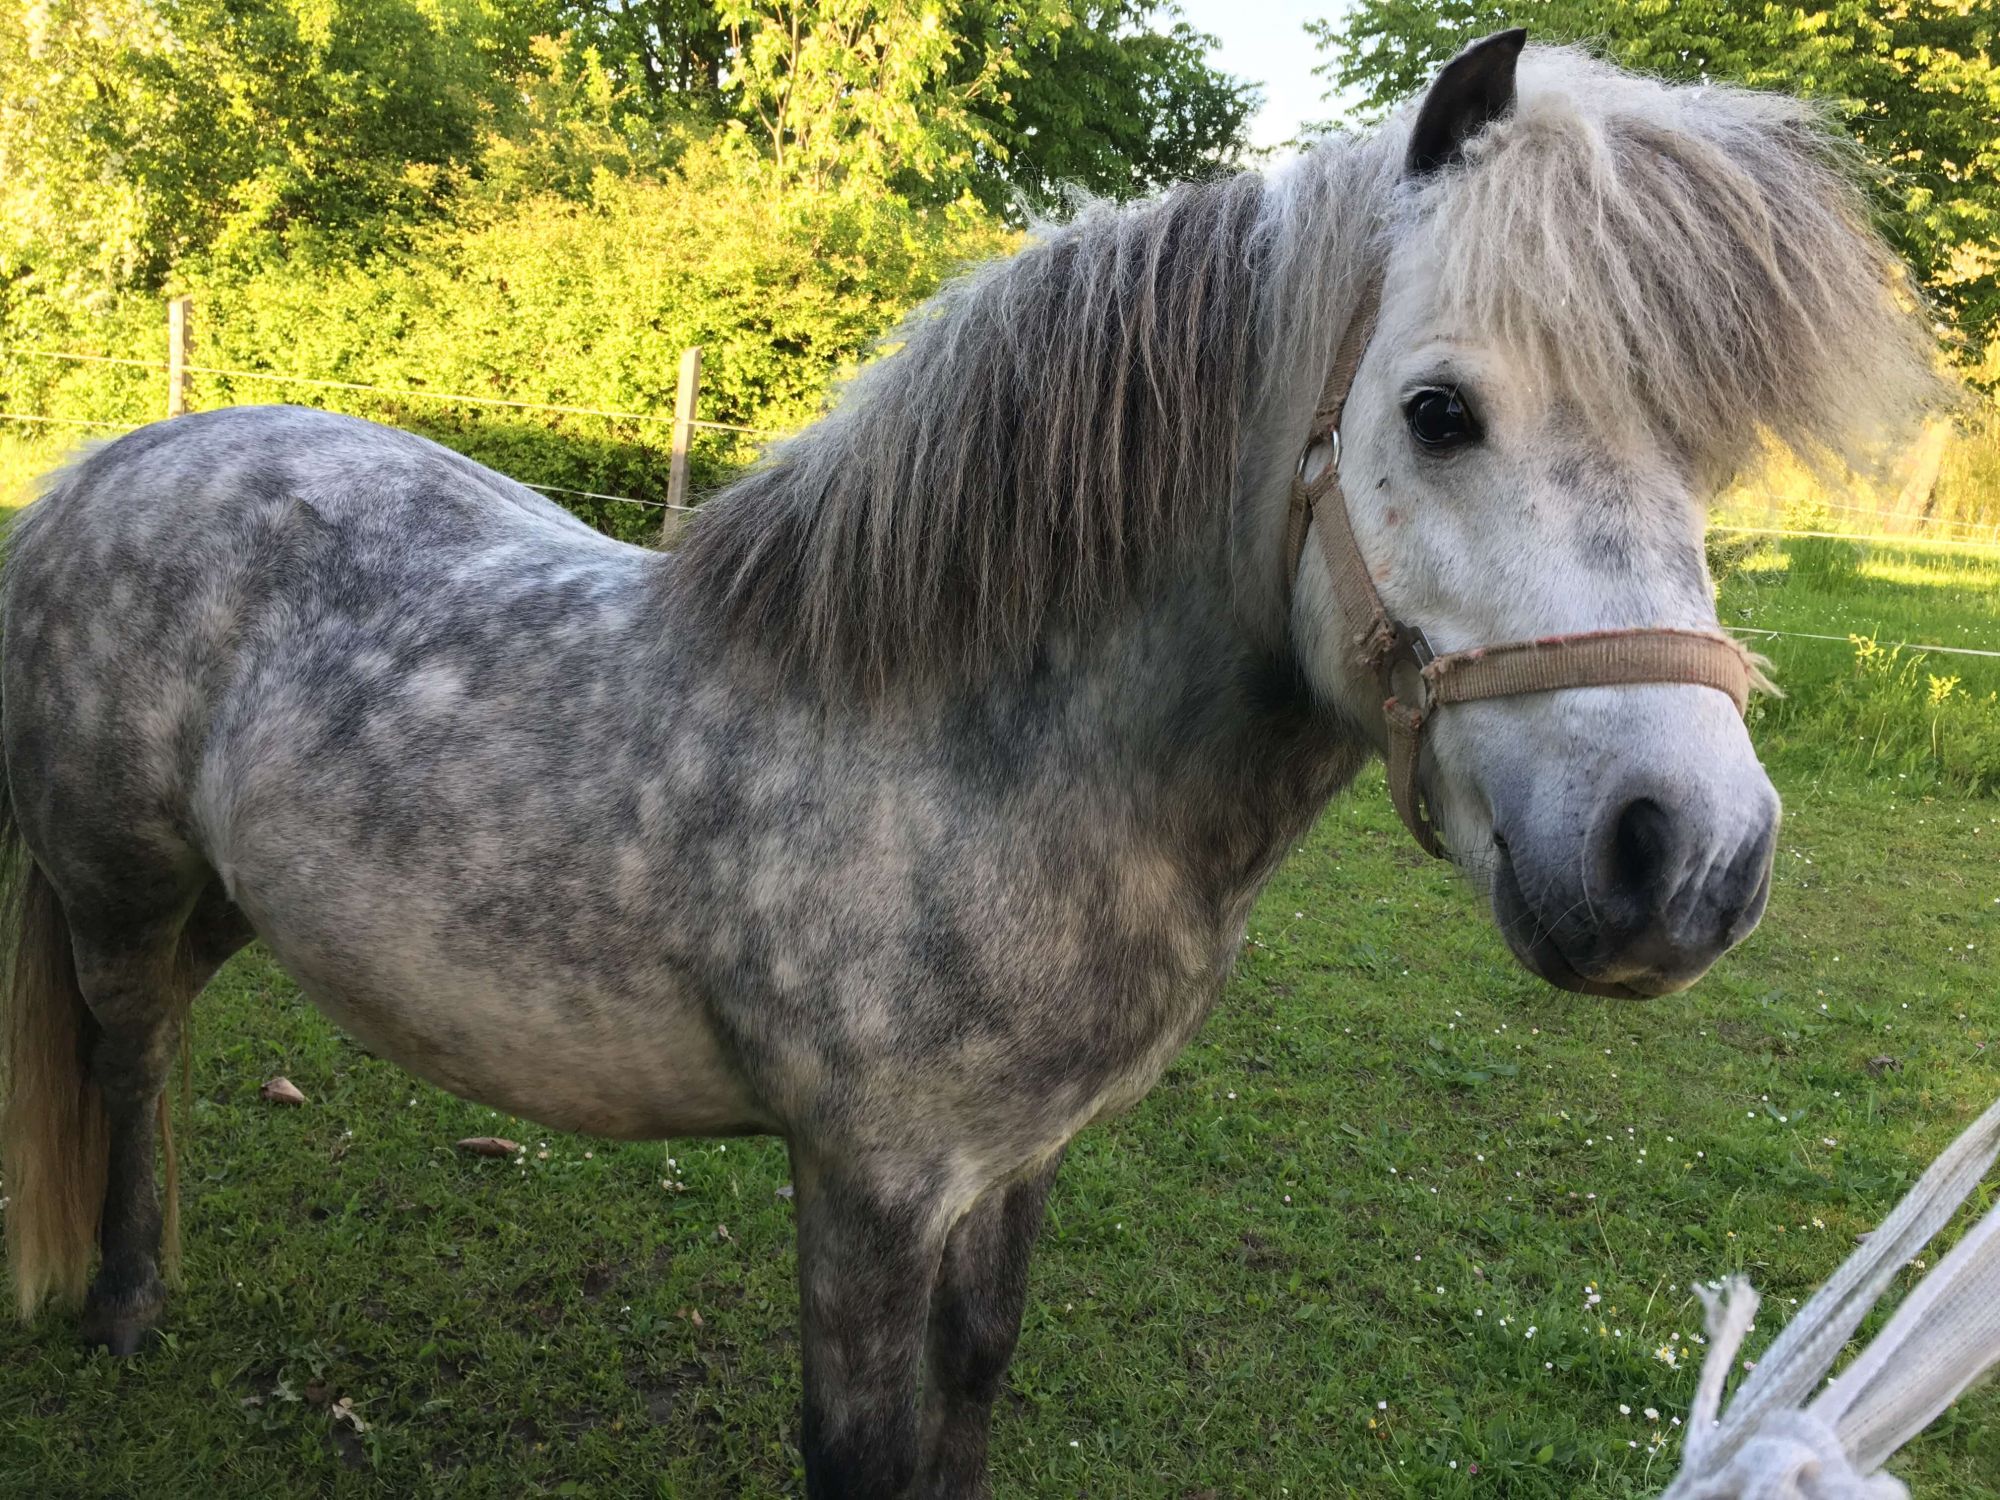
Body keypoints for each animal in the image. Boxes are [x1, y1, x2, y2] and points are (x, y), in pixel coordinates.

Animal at [0, 32, 1936, 1500]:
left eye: (1703, 456)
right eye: (1440, 413)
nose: (1685, 861)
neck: (987, 754)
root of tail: (100, 471)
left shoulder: (1016, 1165)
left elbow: (977, 1385)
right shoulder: (864, 1188)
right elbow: (859, 1447)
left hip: (225, 905)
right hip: (118, 893)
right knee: (125, 1059)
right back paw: (125, 1310)